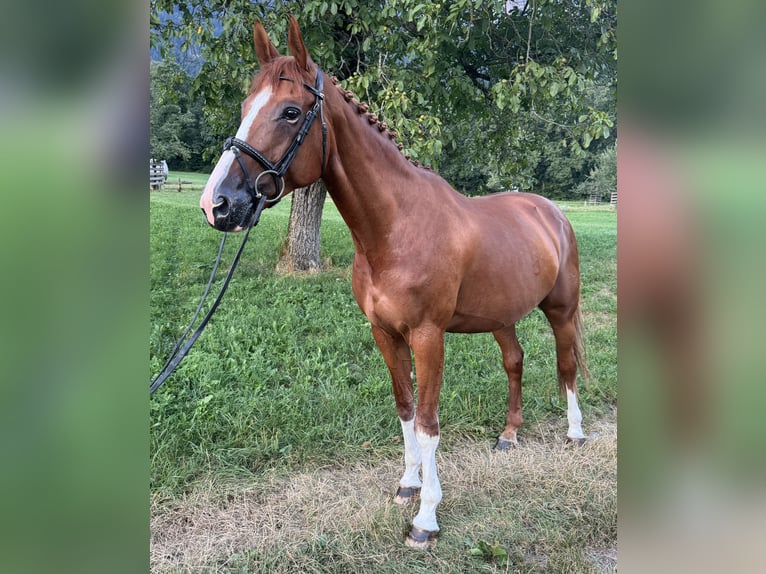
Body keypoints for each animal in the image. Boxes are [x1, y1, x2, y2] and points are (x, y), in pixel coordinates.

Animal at [201, 15, 592, 552]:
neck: (395, 228)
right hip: (501, 316)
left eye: (290, 112)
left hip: (560, 309)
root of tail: (550, 210)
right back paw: (509, 435)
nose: (216, 204)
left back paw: (575, 433)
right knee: (515, 361)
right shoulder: (385, 334)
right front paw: (409, 485)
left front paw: (426, 518)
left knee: (566, 363)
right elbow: (405, 408)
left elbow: (428, 424)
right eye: (244, 109)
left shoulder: (428, 336)